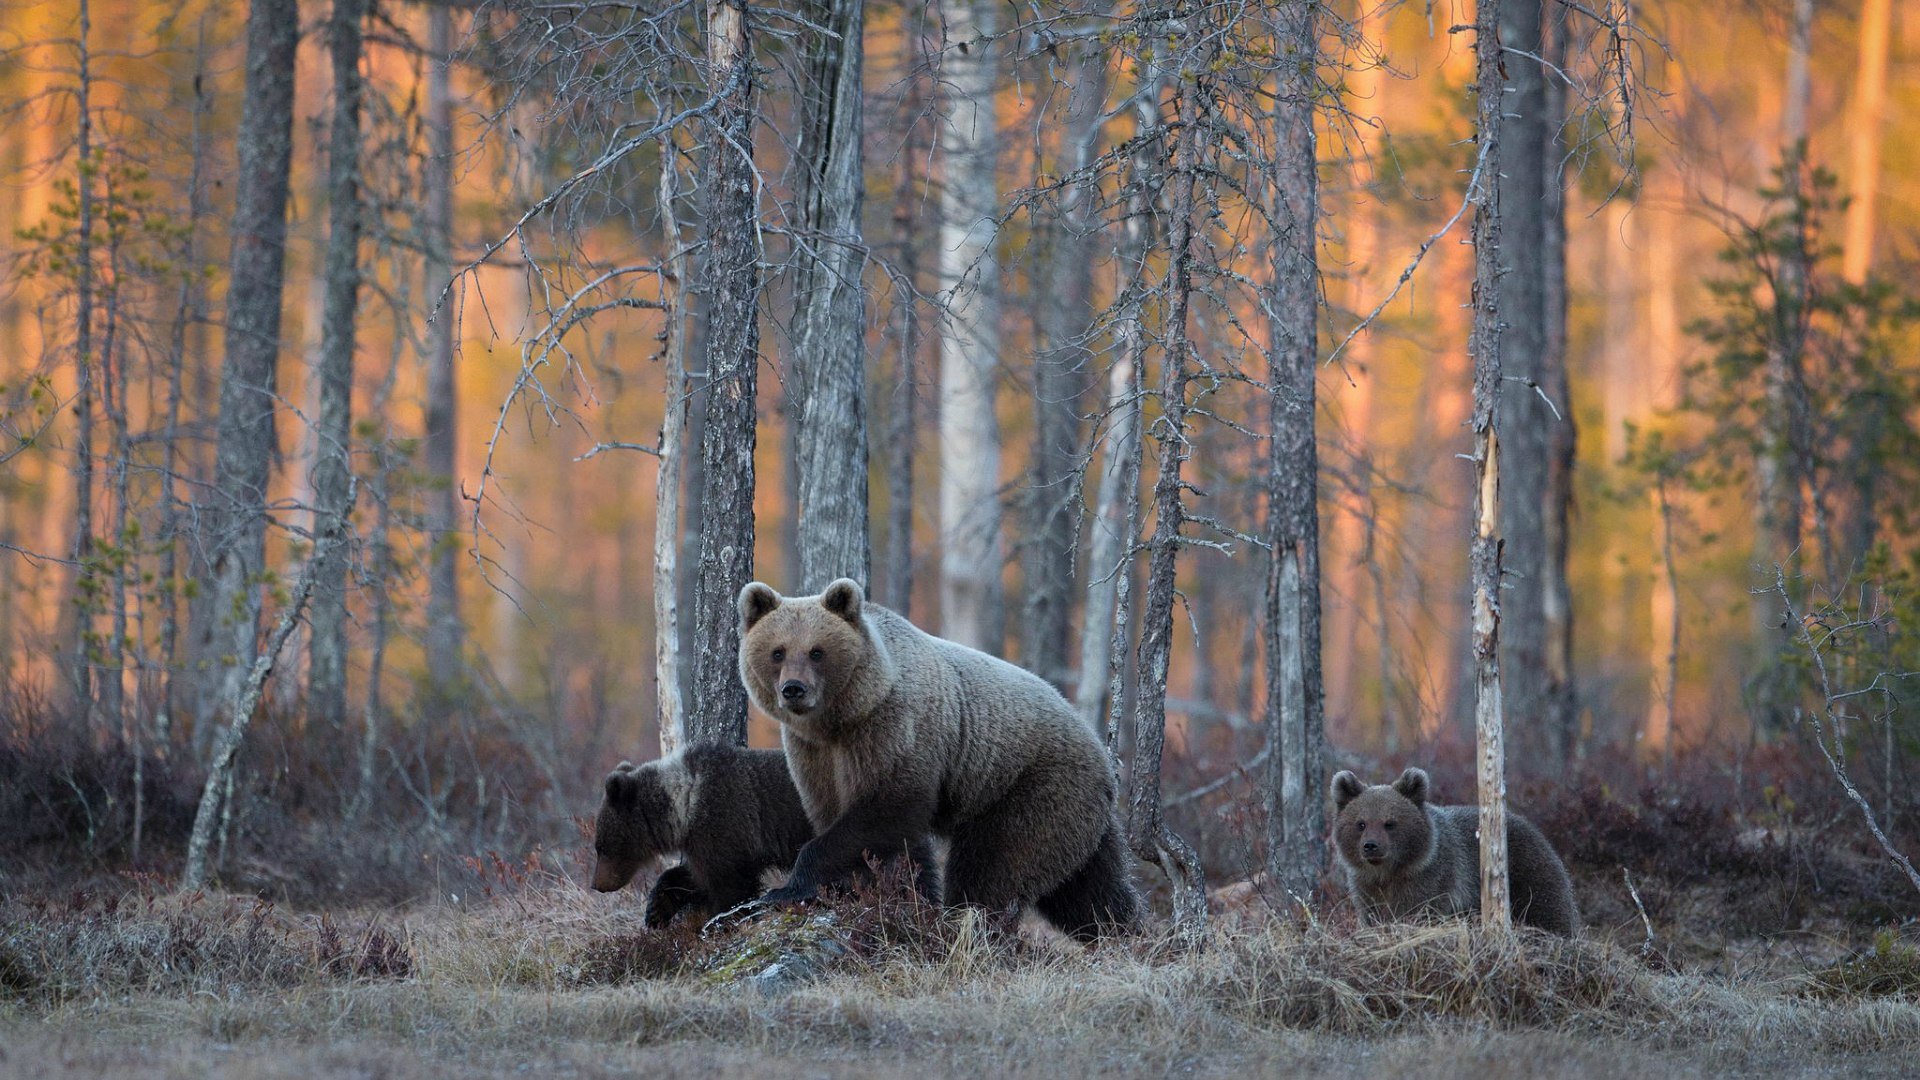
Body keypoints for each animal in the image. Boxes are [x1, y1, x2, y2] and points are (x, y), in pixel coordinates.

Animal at [733, 576, 1136, 937]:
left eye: (817, 651)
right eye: (778, 651)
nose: (793, 689)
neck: (842, 719)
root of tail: (1101, 751)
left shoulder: (894, 730)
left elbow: (883, 811)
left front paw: (786, 889)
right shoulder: (814, 754)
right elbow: (854, 824)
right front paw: (884, 895)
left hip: (1032, 787)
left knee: (995, 867)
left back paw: (970, 926)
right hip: (1078, 816)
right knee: (1089, 888)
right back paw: (1123, 934)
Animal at [1328, 764, 1582, 933]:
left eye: (1390, 823)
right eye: (1361, 823)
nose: (1371, 846)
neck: (1391, 872)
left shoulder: (1432, 879)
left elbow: (1419, 909)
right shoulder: (1366, 886)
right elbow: (1372, 913)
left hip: (1530, 872)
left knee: (1549, 909)